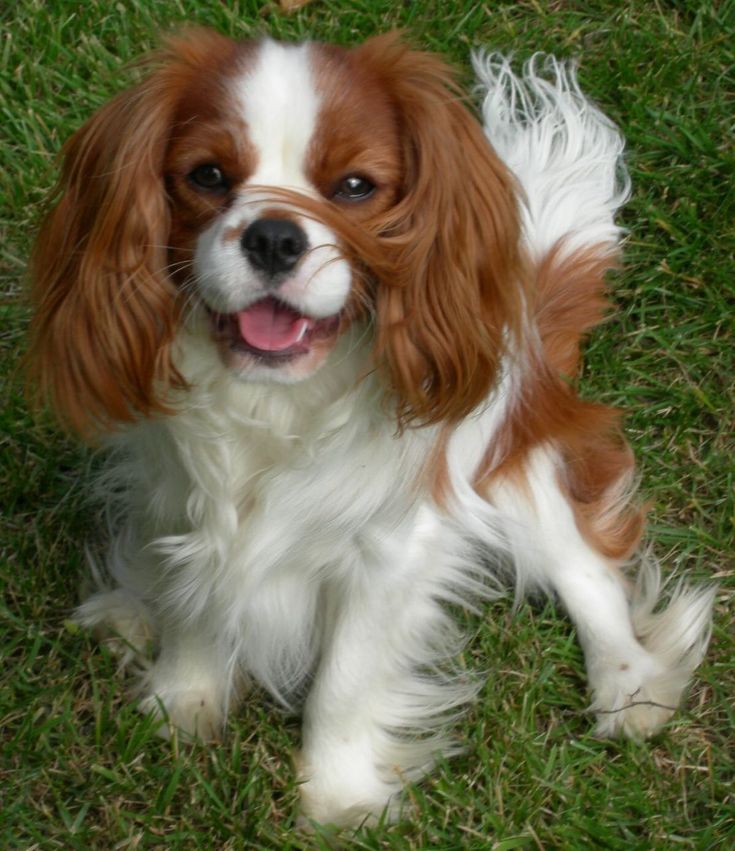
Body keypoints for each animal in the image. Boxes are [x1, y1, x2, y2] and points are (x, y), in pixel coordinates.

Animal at [28, 30, 712, 828]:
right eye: (207, 175)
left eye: (355, 187)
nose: (273, 236)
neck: (280, 399)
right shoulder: (184, 501)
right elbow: (196, 600)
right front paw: (181, 704)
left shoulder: (390, 549)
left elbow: (345, 680)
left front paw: (337, 796)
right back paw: (130, 609)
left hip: (517, 470)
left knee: (586, 571)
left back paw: (627, 682)